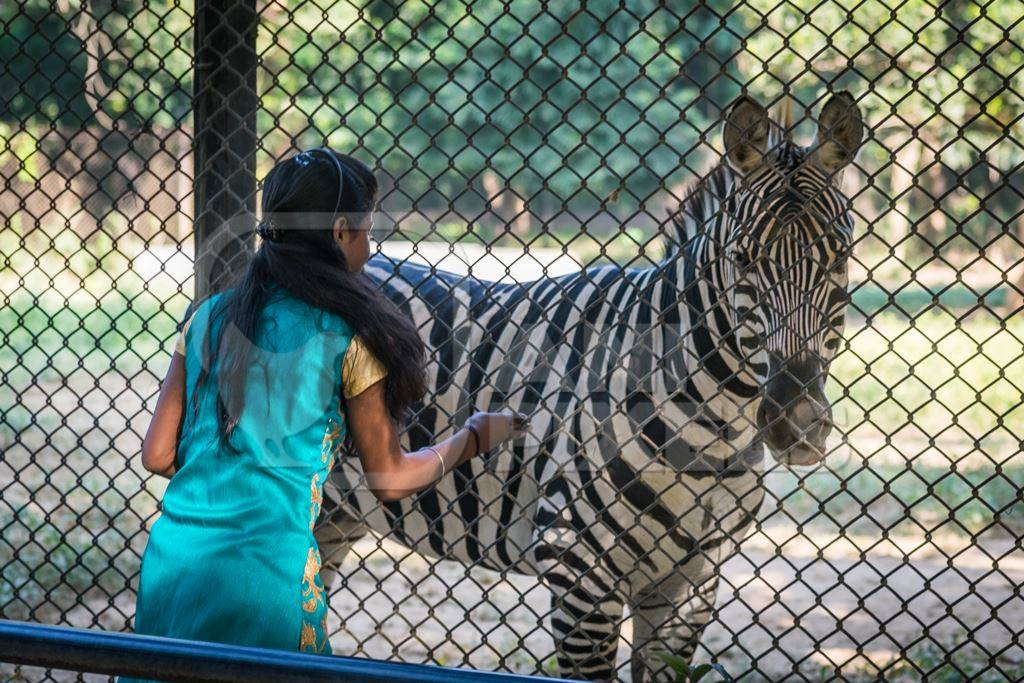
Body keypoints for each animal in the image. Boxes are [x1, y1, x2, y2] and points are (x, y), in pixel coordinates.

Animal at [317, 92, 864, 683]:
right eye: (742, 259)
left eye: (841, 256)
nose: (796, 424)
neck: (715, 427)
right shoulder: (578, 571)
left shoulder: (691, 584)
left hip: (334, 513)